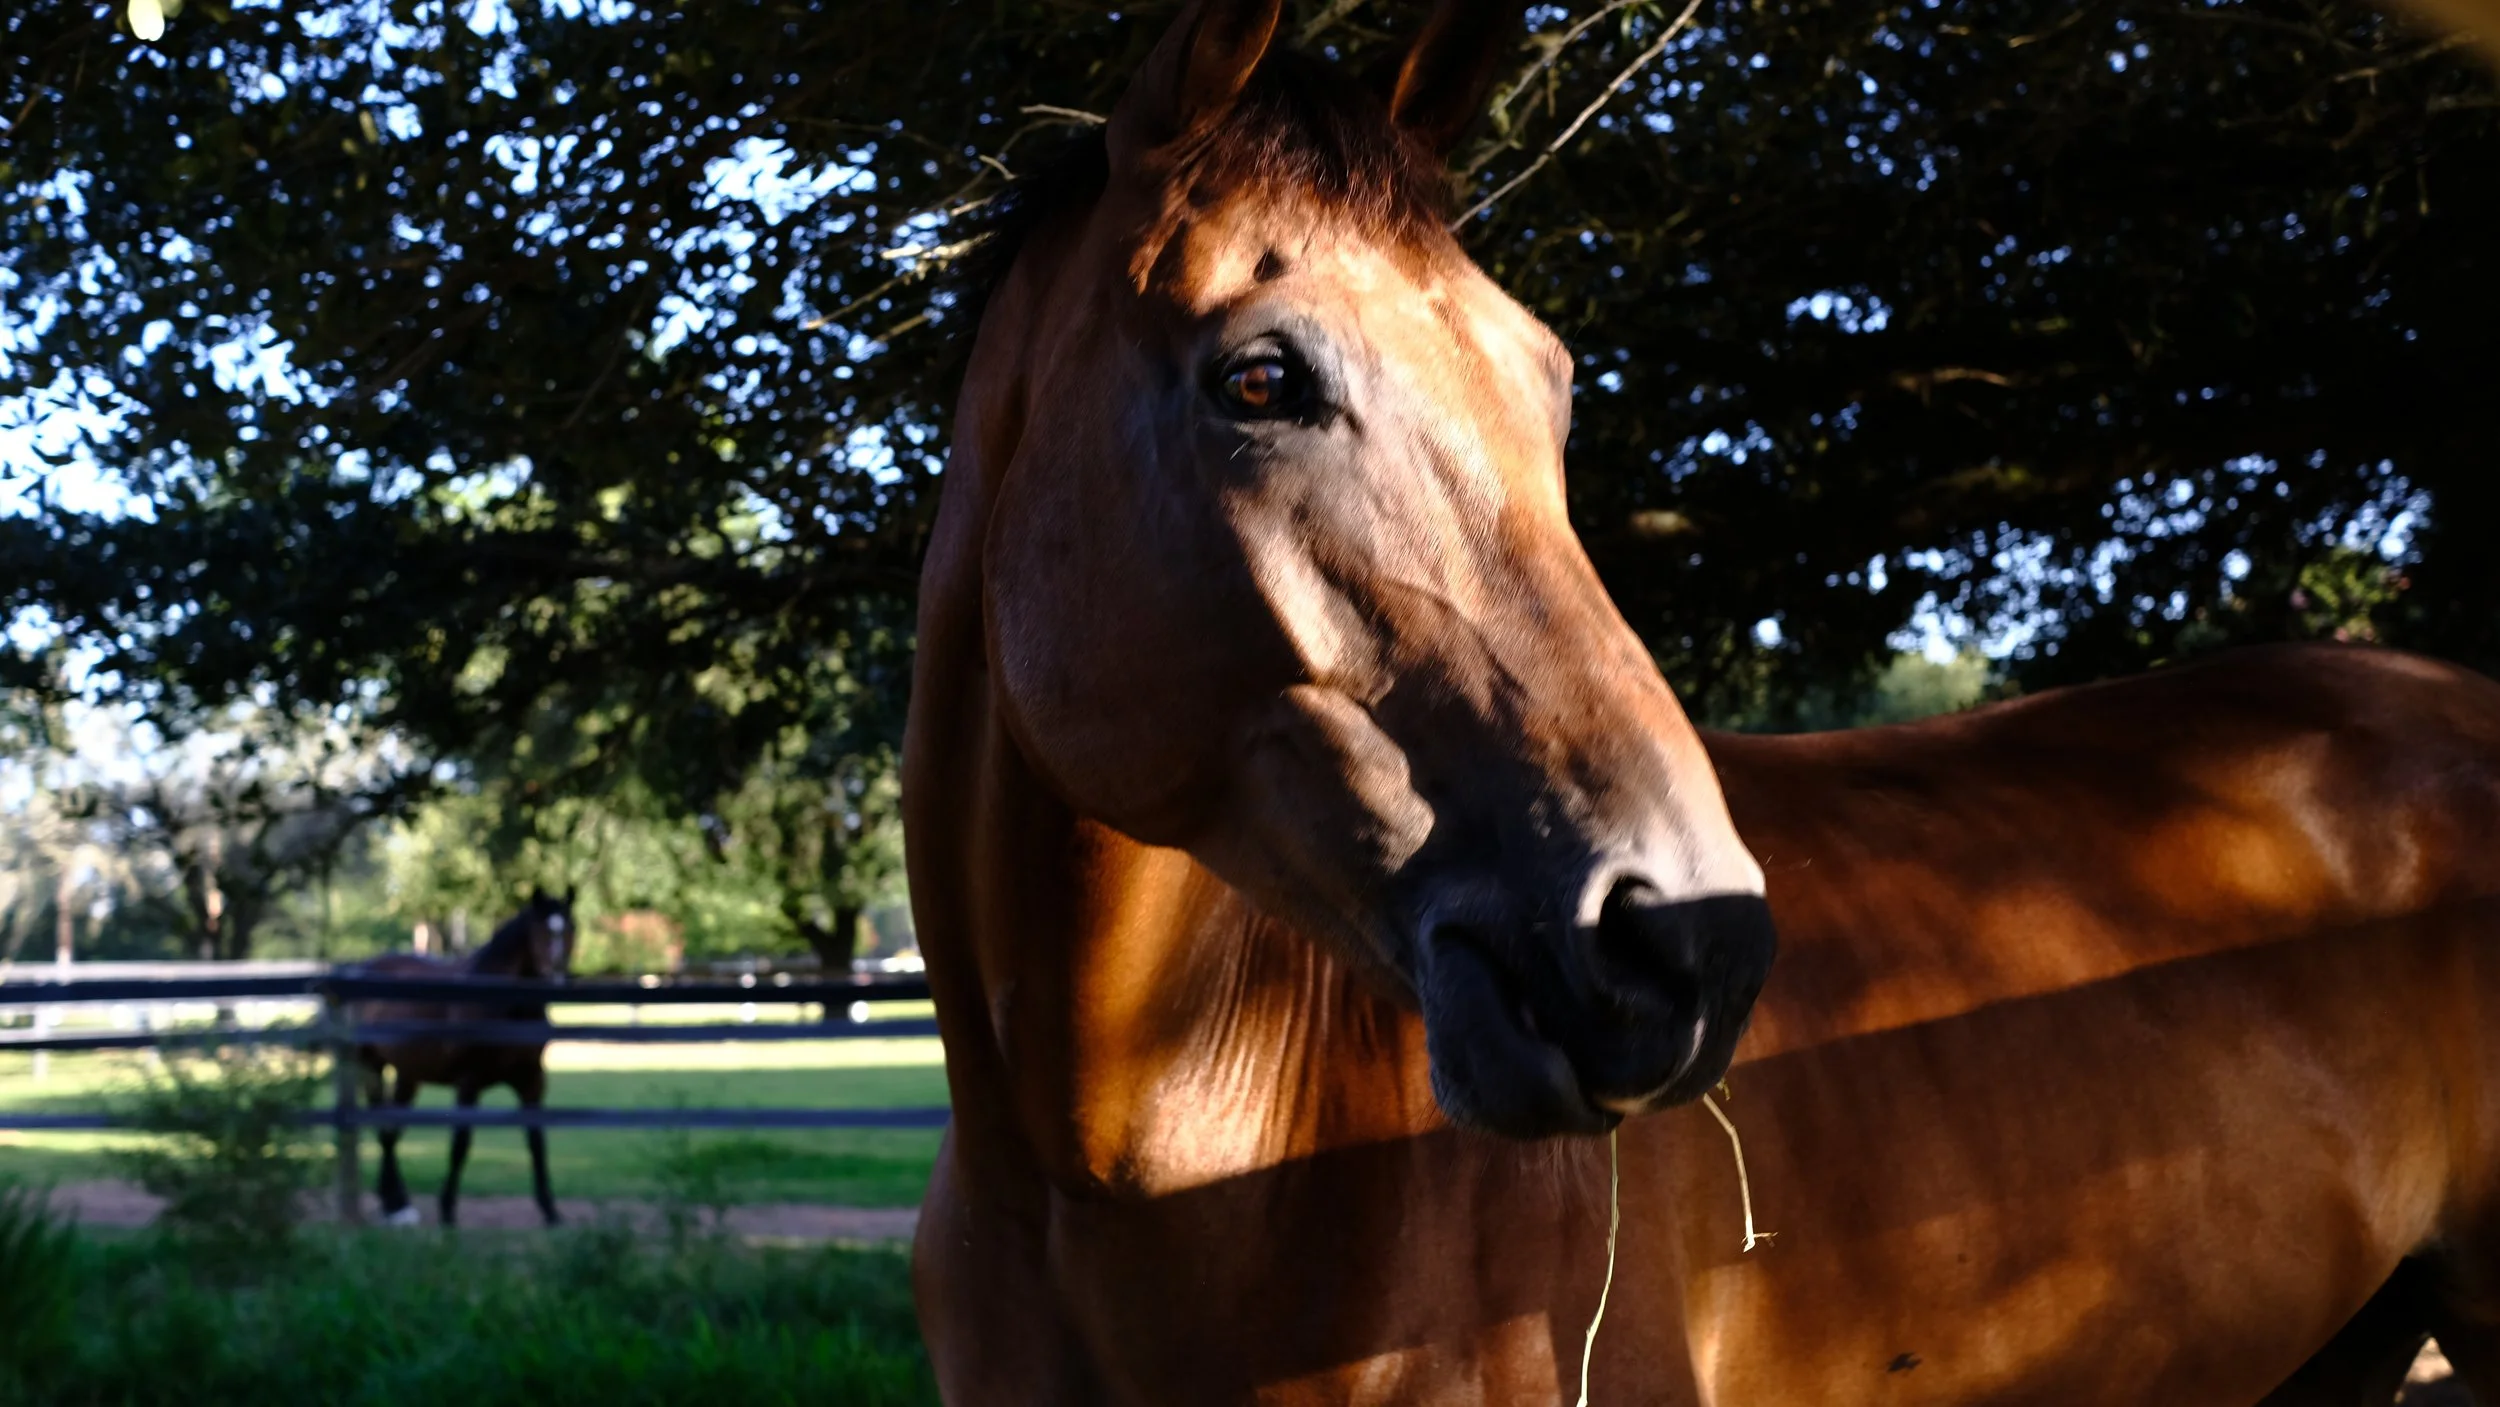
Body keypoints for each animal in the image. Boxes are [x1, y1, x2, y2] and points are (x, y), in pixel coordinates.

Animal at [347, 887, 575, 1227]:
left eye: (571, 928)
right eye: (539, 931)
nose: (556, 979)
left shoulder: (531, 1081)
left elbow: (537, 1142)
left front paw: (550, 1212)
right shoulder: (469, 1082)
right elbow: (460, 1144)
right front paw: (447, 1210)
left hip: (408, 1075)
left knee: (392, 1131)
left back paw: (395, 1203)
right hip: (371, 1067)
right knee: (384, 1130)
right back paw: (397, 1205)